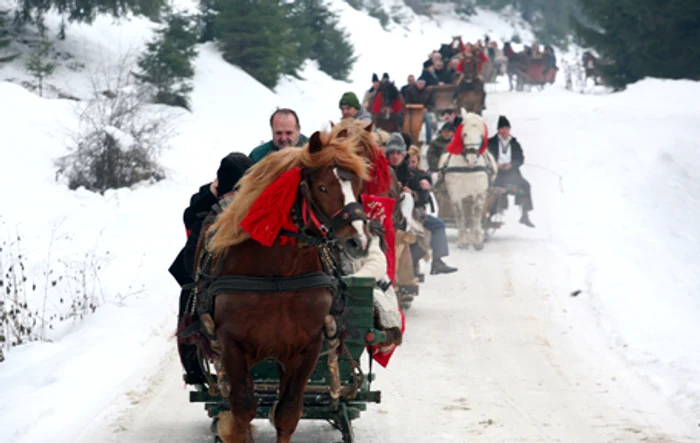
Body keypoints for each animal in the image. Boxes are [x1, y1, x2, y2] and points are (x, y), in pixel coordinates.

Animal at [196, 132, 370, 443]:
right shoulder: (231, 345)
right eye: (322, 187)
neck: (280, 271)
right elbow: (241, 413)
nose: (358, 242)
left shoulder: (306, 347)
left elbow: (287, 413)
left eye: (359, 186)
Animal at [438, 109, 498, 251]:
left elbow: (476, 214)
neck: (467, 168)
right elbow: (460, 215)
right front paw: (462, 241)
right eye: (465, 134)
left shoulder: (480, 192)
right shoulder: (455, 194)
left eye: (481, 136)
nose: (472, 158)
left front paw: (477, 241)